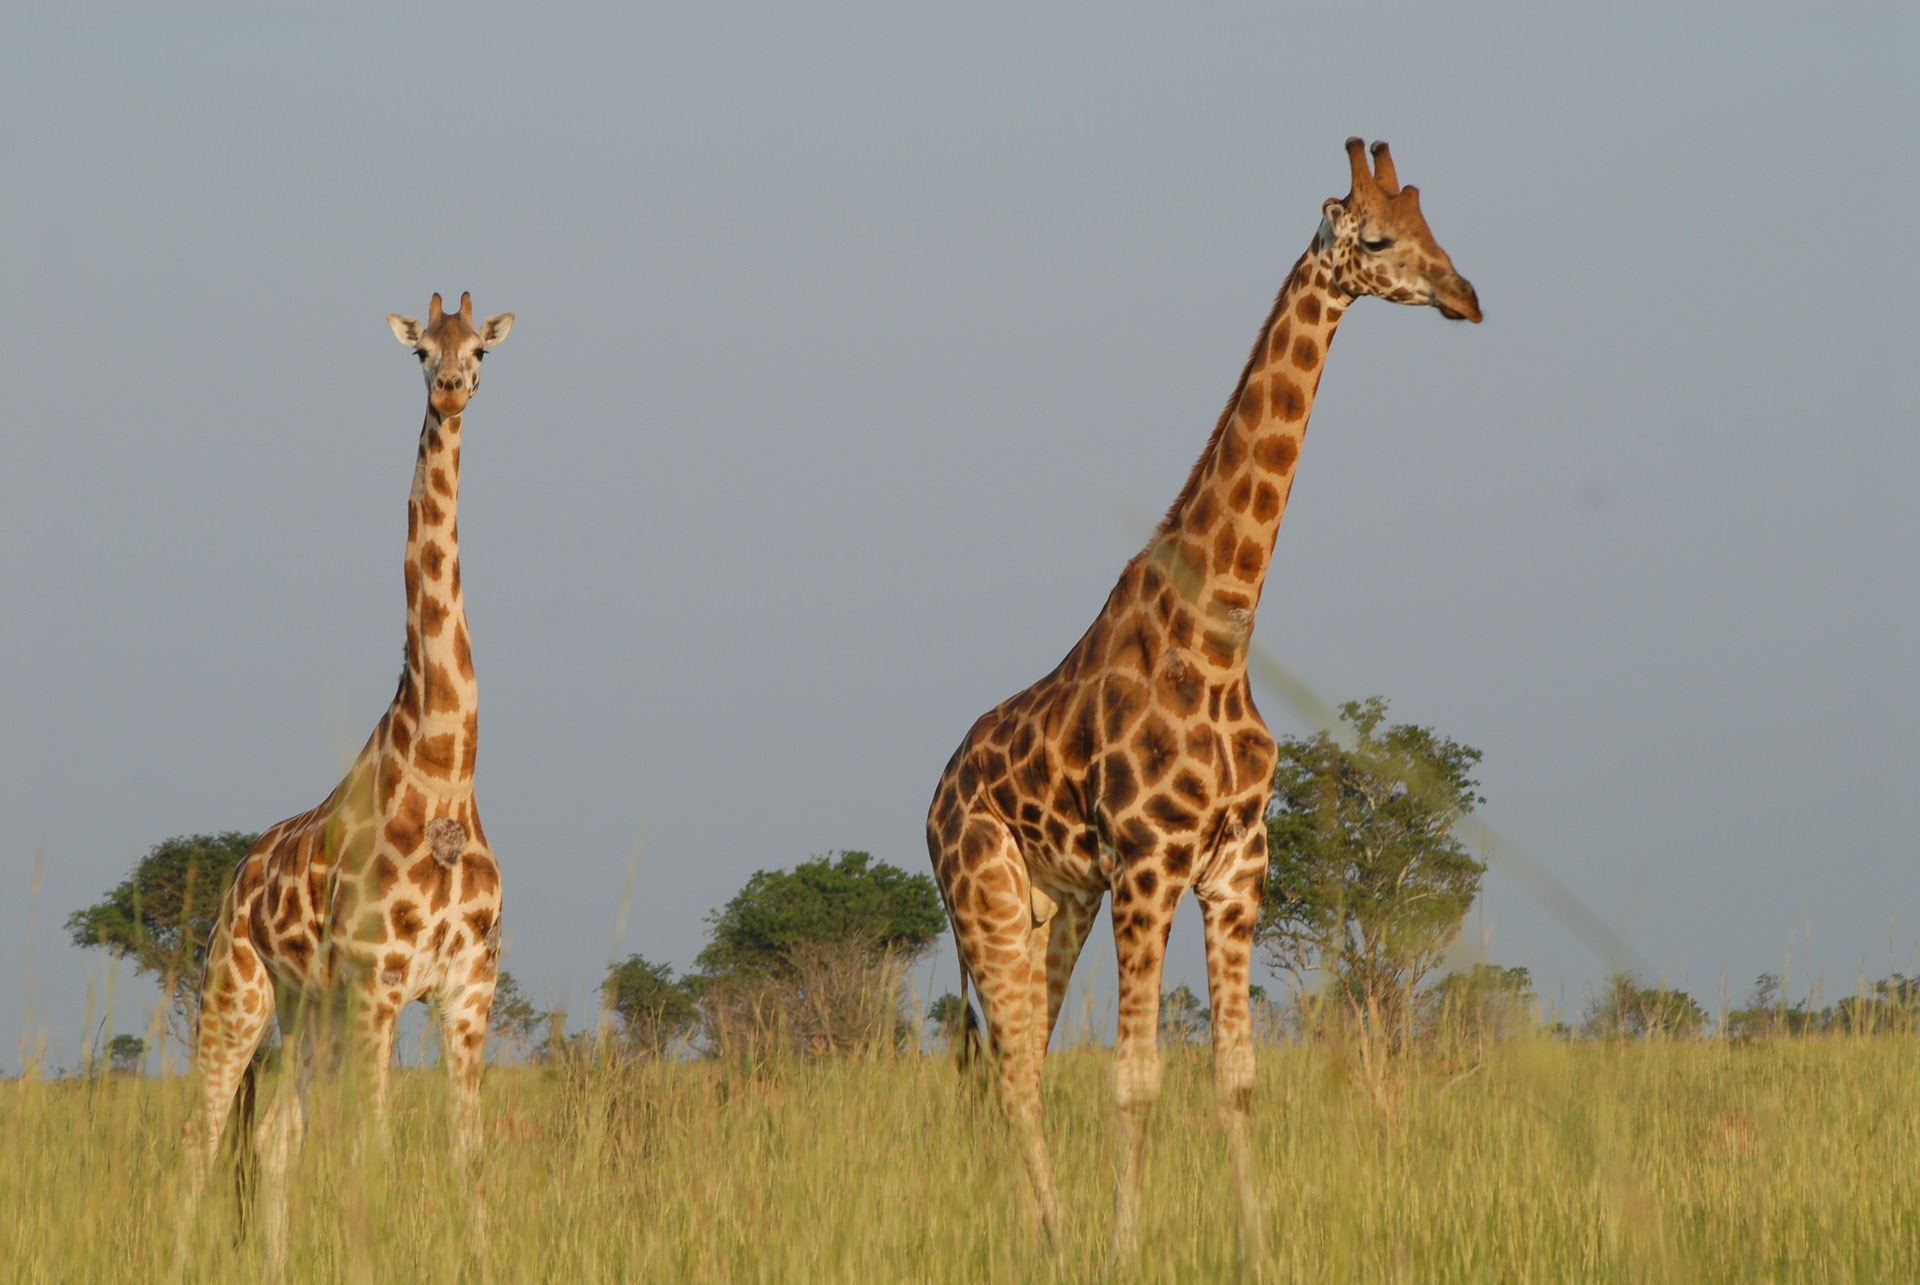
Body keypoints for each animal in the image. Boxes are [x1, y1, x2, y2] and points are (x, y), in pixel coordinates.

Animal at [173, 293, 514, 1275]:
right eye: (420, 352)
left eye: (481, 350)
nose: (452, 388)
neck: (444, 772)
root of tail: (235, 878)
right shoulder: (381, 980)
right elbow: (373, 1148)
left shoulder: (469, 984)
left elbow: (468, 1153)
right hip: (237, 995)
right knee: (200, 1138)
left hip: (307, 1013)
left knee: (275, 1136)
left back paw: (274, 1265)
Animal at [929, 140, 1482, 1260]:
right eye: (1376, 240)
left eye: (1431, 227)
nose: (1466, 295)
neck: (1223, 635)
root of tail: (926, 803)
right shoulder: (1150, 863)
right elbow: (1137, 1080)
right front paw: (1124, 1250)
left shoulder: (1236, 867)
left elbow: (1236, 1080)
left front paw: (1259, 1247)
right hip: (985, 901)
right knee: (1012, 1078)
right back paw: (1059, 1242)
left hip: (1056, 903)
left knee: (1024, 1065)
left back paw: (1040, 1233)